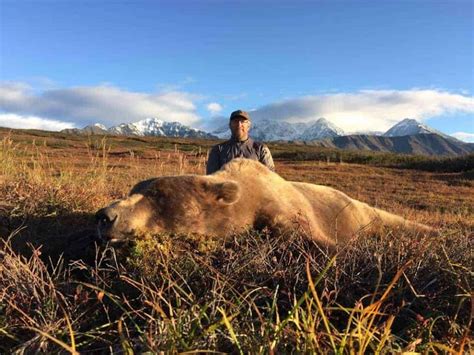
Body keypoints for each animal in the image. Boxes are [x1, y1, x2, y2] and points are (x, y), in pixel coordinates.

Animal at [96, 159, 434, 248]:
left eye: (157, 194)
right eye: (135, 188)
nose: (105, 215)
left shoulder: (280, 206)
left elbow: (311, 236)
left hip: (359, 211)